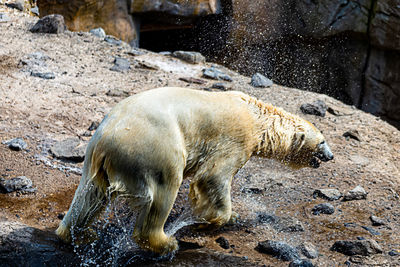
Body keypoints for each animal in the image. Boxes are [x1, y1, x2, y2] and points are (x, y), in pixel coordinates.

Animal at [55, 87, 332, 255]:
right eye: (322, 141)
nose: (330, 156)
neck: (257, 117)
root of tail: (107, 140)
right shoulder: (236, 139)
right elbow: (214, 177)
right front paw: (209, 220)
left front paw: (227, 216)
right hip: (154, 150)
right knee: (163, 191)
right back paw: (165, 242)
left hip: (95, 161)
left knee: (89, 196)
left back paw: (79, 233)